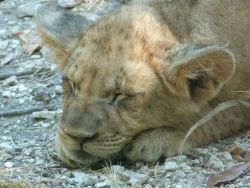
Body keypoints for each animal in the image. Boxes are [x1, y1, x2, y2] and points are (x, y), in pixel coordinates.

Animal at [36, 0, 249, 167]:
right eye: (72, 85)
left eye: (120, 95)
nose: (76, 136)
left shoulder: (243, 100)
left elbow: (217, 114)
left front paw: (161, 138)